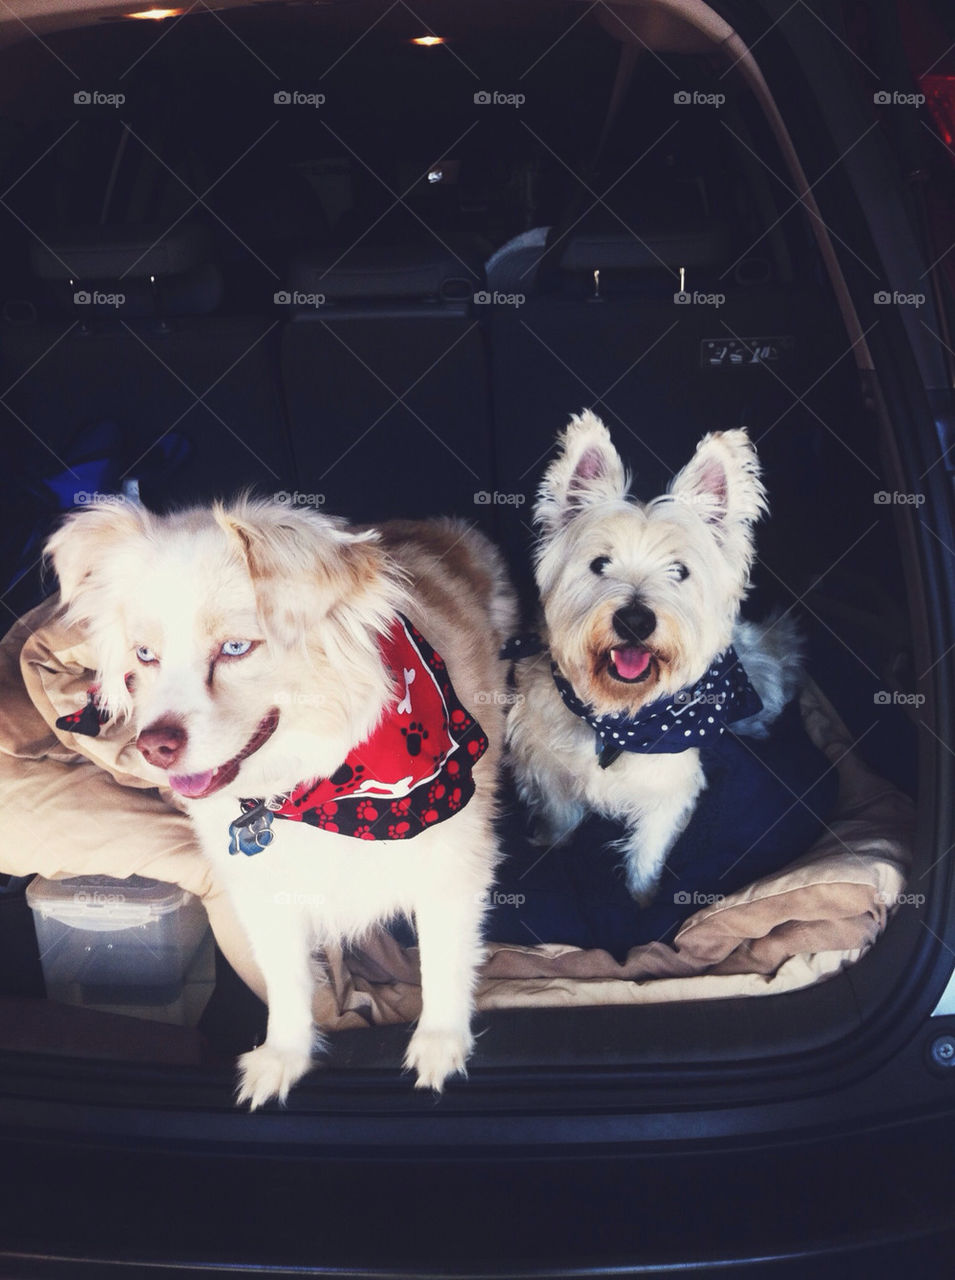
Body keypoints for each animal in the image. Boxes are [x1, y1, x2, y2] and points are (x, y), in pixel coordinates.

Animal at [46, 499, 514, 1111]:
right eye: (145, 656)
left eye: (236, 648)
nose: (154, 747)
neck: (310, 791)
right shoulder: (265, 895)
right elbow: (287, 981)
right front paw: (284, 1056)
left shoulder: (453, 867)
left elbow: (443, 958)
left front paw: (440, 1043)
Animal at [501, 414, 798, 906]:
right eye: (599, 564)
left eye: (680, 571)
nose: (636, 620)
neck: (619, 715)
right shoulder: (546, 764)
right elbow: (560, 815)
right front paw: (549, 845)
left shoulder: (668, 788)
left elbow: (647, 851)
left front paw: (641, 899)